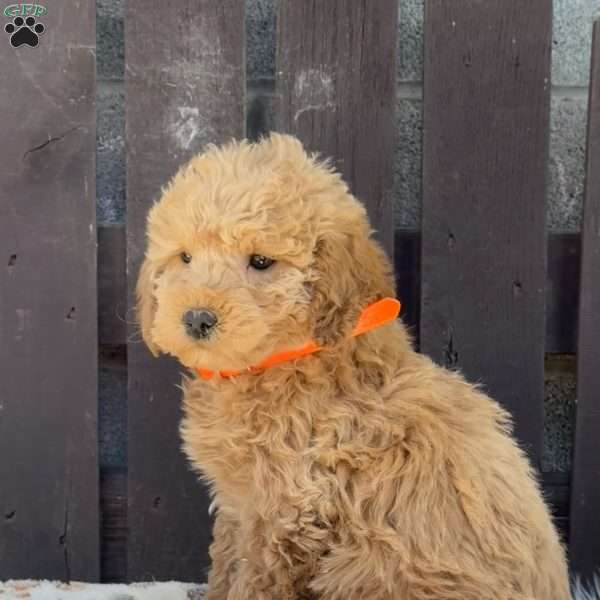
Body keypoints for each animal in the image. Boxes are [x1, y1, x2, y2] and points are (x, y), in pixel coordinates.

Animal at [137, 134, 572, 596]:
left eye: (261, 261)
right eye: (184, 258)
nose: (197, 318)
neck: (283, 361)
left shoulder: (288, 506)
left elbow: (255, 581)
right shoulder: (241, 508)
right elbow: (224, 565)